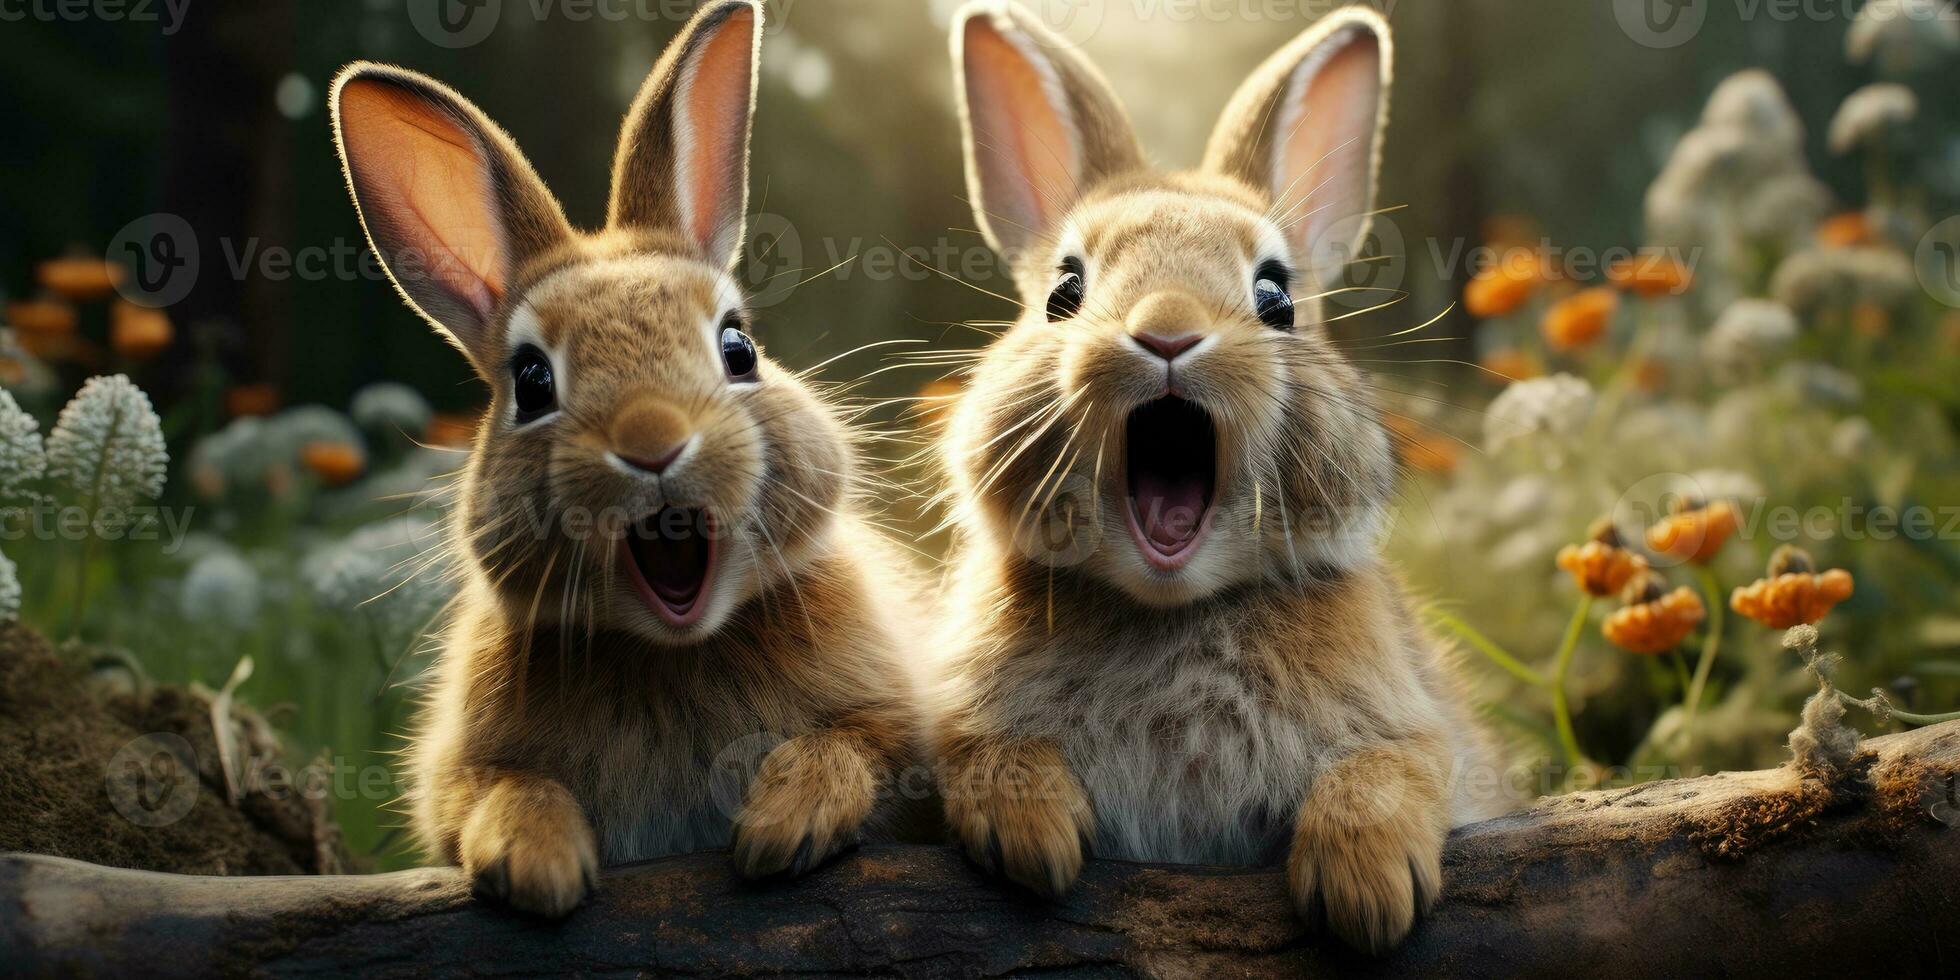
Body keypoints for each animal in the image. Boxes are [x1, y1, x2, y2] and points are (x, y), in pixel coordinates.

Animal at [329, 0, 924, 918]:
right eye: (531, 381)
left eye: (738, 348)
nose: (653, 442)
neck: (672, 647)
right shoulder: (461, 777)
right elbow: (498, 793)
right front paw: (535, 860)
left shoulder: (896, 722)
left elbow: (853, 746)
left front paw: (784, 823)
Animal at [931, 1, 1513, 953]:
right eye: (1064, 292)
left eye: (1276, 296)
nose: (1166, 332)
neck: (1173, 606)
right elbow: (981, 751)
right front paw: (1032, 832)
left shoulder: (1409, 734)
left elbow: (1392, 769)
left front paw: (1367, 888)